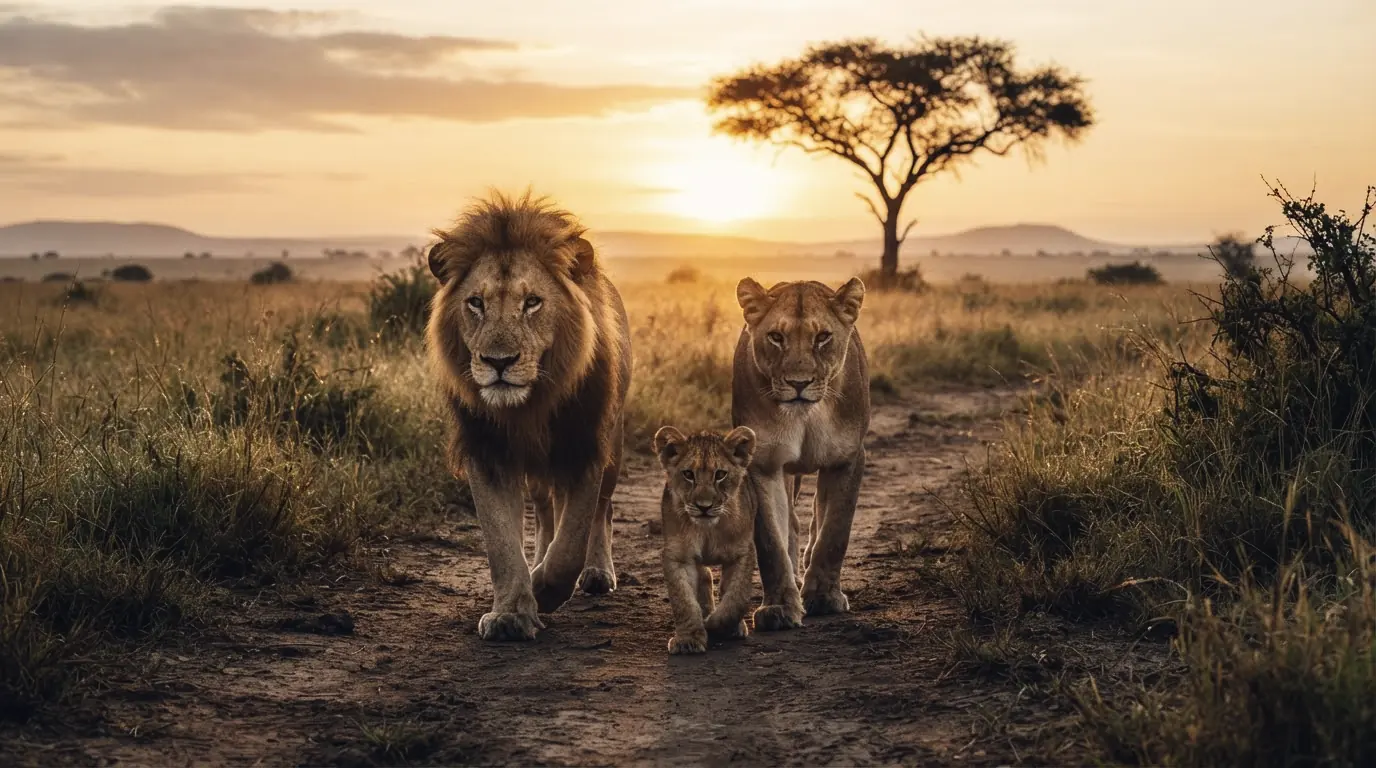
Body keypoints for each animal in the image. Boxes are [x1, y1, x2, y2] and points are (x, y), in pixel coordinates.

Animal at [427, 191, 631, 641]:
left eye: (532, 302)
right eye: (476, 303)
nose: (498, 362)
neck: (527, 408)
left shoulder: (584, 447)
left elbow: (571, 544)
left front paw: (545, 589)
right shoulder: (487, 452)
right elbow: (501, 542)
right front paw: (510, 613)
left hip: (613, 448)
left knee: (602, 512)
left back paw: (596, 572)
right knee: (544, 512)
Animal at [653, 426, 758, 654]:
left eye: (720, 474)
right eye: (688, 474)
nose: (704, 506)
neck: (708, 530)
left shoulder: (742, 553)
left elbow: (736, 597)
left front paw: (717, 625)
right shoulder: (679, 556)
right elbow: (683, 600)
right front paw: (688, 639)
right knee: (705, 577)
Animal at [732, 277, 870, 630]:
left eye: (822, 337)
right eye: (776, 337)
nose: (798, 383)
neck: (805, 416)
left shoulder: (847, 459)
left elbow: (835, 530)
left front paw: (823, 596)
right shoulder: (763, 464)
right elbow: (771, 540)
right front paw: (780, 606)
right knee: (792, 522)